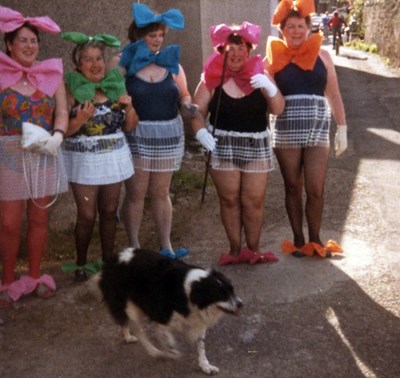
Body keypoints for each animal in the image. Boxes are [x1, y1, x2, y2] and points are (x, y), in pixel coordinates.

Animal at [94, 247, 244, 374]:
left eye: (232, 290)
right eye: (221, 295)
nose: (240, 304)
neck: (190, 291)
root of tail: (110, 260)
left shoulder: (198, 322)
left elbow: (201, 346)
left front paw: (205, 366)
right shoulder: (161, 317)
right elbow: (168, 339)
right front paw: (171, 351)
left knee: (125, 322)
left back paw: (127, 336)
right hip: (130, 307)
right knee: (138, 330)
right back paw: (155, 352)